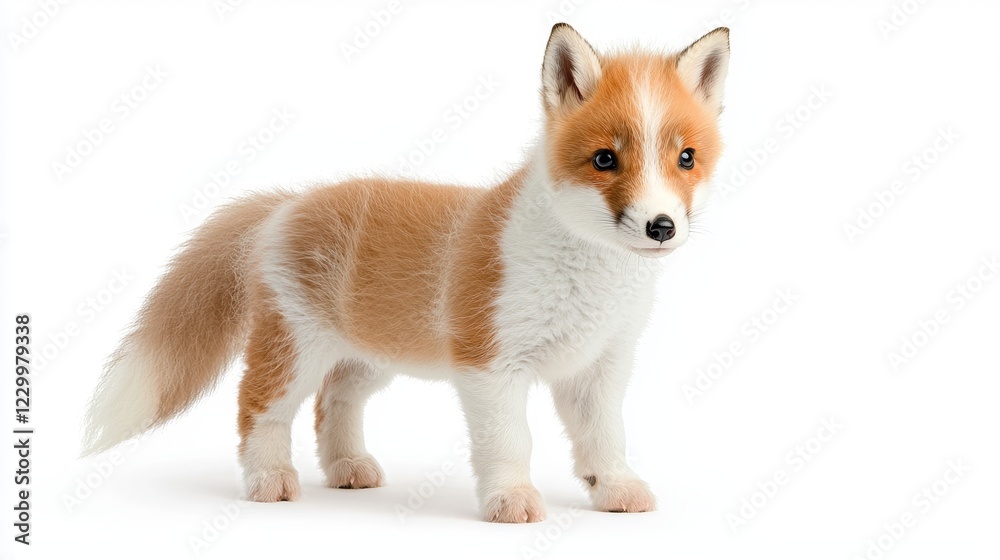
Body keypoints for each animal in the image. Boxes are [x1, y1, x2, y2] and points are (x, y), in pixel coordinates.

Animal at [83, 23, 730, 523]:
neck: (591, 282)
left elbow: (605, 438)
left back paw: (347, 467)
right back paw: (269, 479)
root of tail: (288, 201)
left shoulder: (600, 368)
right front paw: (511, 500)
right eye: (604, 159)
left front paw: (614, 488)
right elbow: (511, 441)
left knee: (333, 402)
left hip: (371, 356)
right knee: (258, 406)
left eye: (686, 159)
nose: (661, 226)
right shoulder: (489, 365)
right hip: (296, 349)